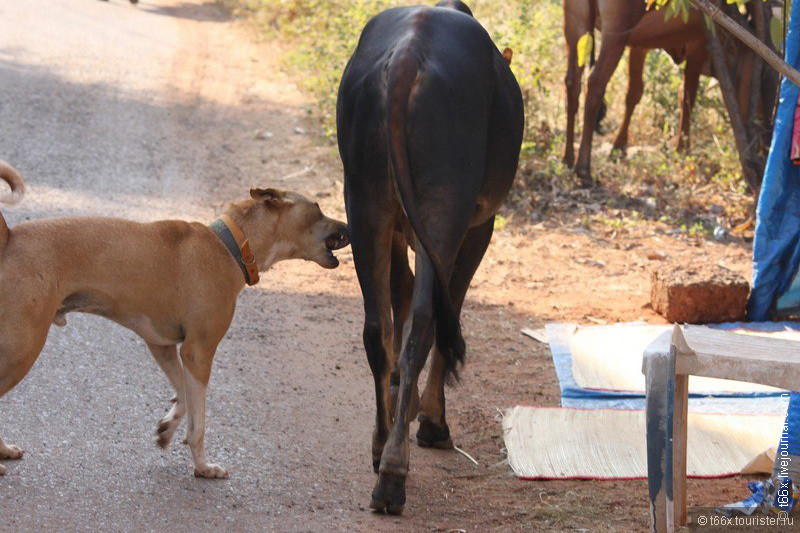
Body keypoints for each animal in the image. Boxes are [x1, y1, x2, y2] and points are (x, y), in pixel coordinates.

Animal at [0, 162, 350, 478]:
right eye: (318, 208)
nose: (348, 226)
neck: (230, 246)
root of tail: (9, 237)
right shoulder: (199, 353)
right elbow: (199, 423)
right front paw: (203, 467)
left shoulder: (164, 346)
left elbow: (182, 394)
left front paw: (167, 428)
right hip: (23, 350)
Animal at [336, 1, 524, 516]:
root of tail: (408, 55)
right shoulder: (479, 227)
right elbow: (446, 310)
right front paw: (433, 418)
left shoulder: (397, 227)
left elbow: (397, 300)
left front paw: (402, 390)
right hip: (445, 212)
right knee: (425, 322)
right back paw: (394, 473)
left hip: (364, 204)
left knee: (377, 329)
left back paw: (381, 444)